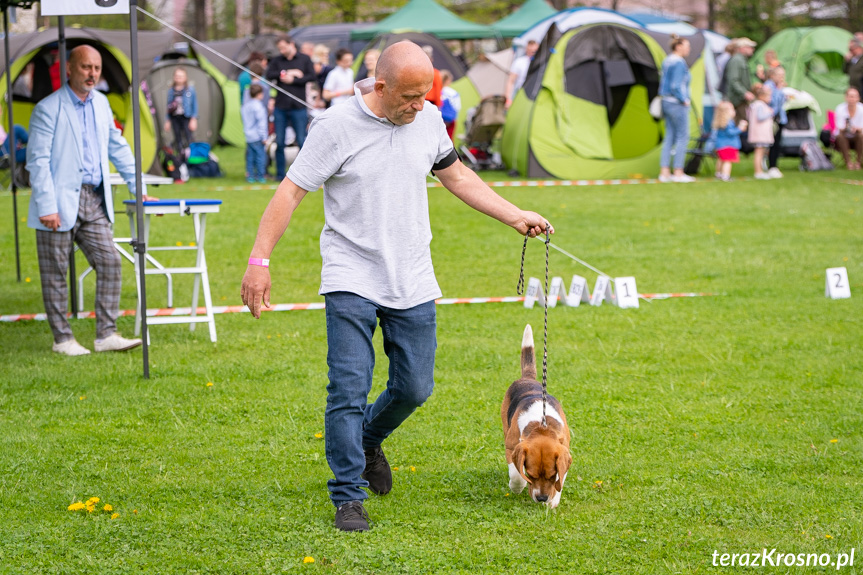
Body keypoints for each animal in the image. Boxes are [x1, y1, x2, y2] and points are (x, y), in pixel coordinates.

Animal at [500, 324, 572, 508]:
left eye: (552, 475)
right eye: (531, 475)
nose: (542, 498)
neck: (541, 425)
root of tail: (528, 378)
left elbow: (562, 477)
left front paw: (554, 500)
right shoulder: (511, 448)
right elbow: (517, 474)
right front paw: (517, 486)